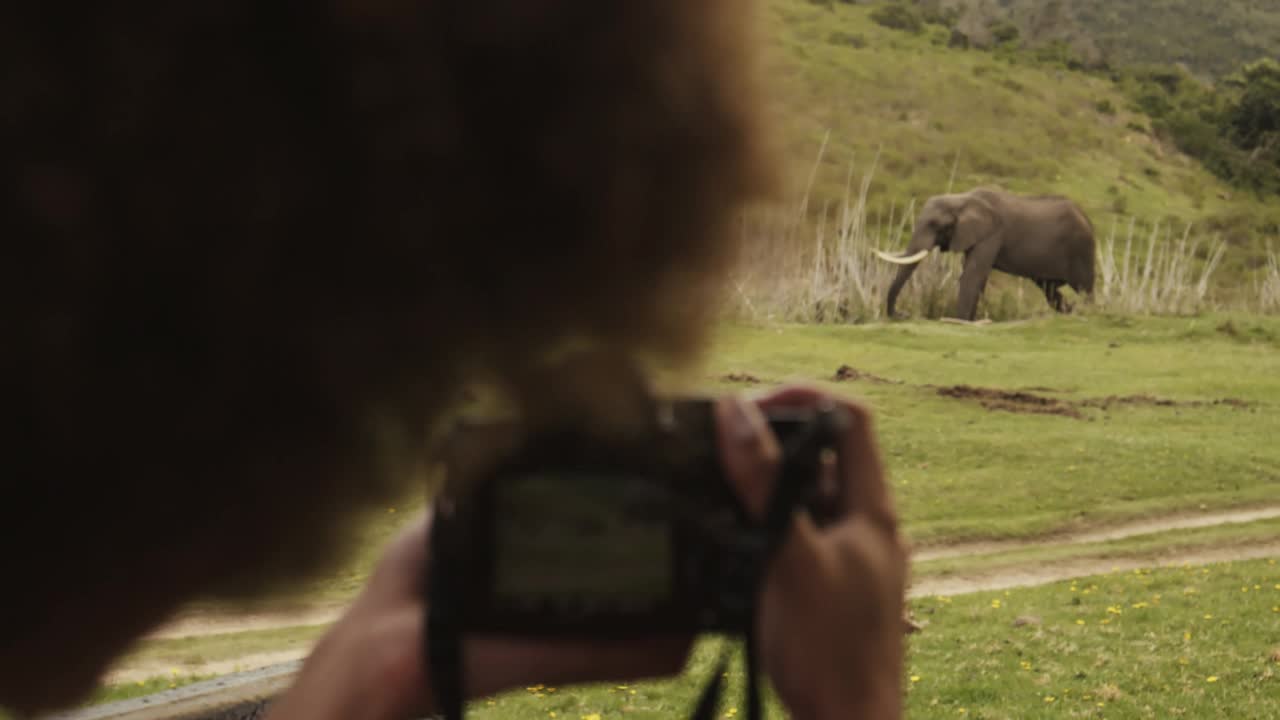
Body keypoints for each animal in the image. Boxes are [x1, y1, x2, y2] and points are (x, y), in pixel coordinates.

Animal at [875, 185, 1095, 317]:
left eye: (935, 225)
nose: (902, 315)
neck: (962, 199)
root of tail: (1087, 217)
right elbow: (975, 275)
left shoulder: (992, 233)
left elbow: (972, 274)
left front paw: (960, 322)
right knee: (1050, 290)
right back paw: (1070, 312)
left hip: (1081, 249)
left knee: (1084, 288)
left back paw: (1089, 312)